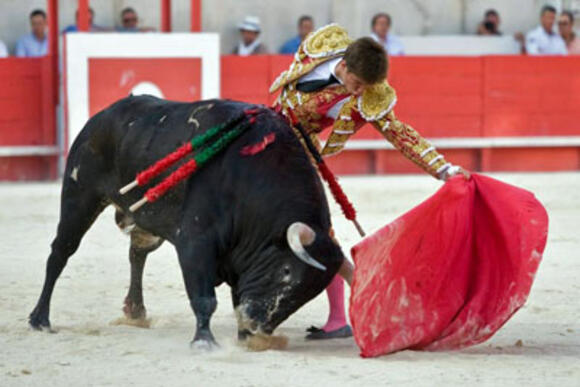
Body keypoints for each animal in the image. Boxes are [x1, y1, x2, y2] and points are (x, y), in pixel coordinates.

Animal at [28, 96, 344, 348]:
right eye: (287, 272)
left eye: (308, 294)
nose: (256, 326)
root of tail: (101, 116)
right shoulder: (195, 241)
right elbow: (205, 298)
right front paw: (204, 341)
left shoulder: (241, 253)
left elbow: (236, 294)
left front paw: (242, 338)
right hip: (80, 198)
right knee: (60, 253)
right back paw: (40, 319)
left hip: (145, 223)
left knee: (137, 254)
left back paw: (135, 311)